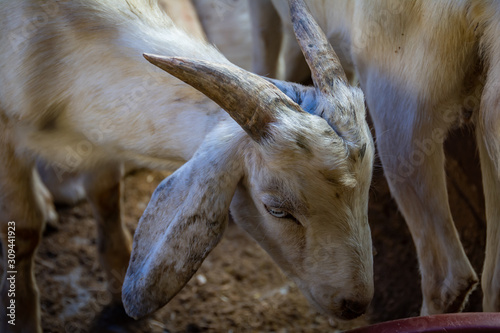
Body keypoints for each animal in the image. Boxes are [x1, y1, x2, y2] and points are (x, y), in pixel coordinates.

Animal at [0, 0, 376, 330]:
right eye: (277, 210)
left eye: (366, 192)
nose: (355, 304)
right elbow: (25, 230)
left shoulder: (98, 140)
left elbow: (106, 195)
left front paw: (119, 280)